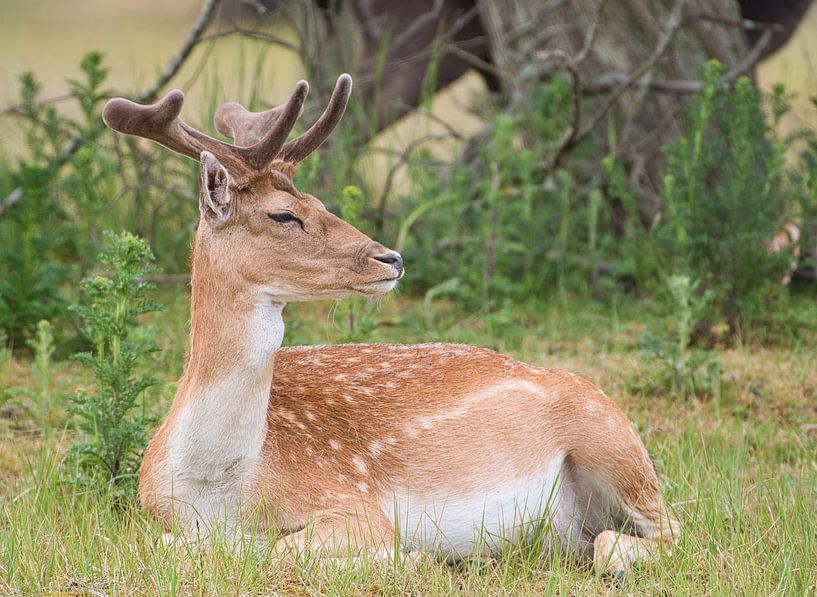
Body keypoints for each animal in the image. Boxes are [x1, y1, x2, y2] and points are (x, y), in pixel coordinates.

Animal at [100, 74, 676, 572]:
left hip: (614, 442)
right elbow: (171, 547)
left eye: (320, 201)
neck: (217, 488)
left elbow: (277, 550)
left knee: (661, 538)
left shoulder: (356, 505)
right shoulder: (151, 519)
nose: (390, 257)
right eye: (284, 214)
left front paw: (412, 556)